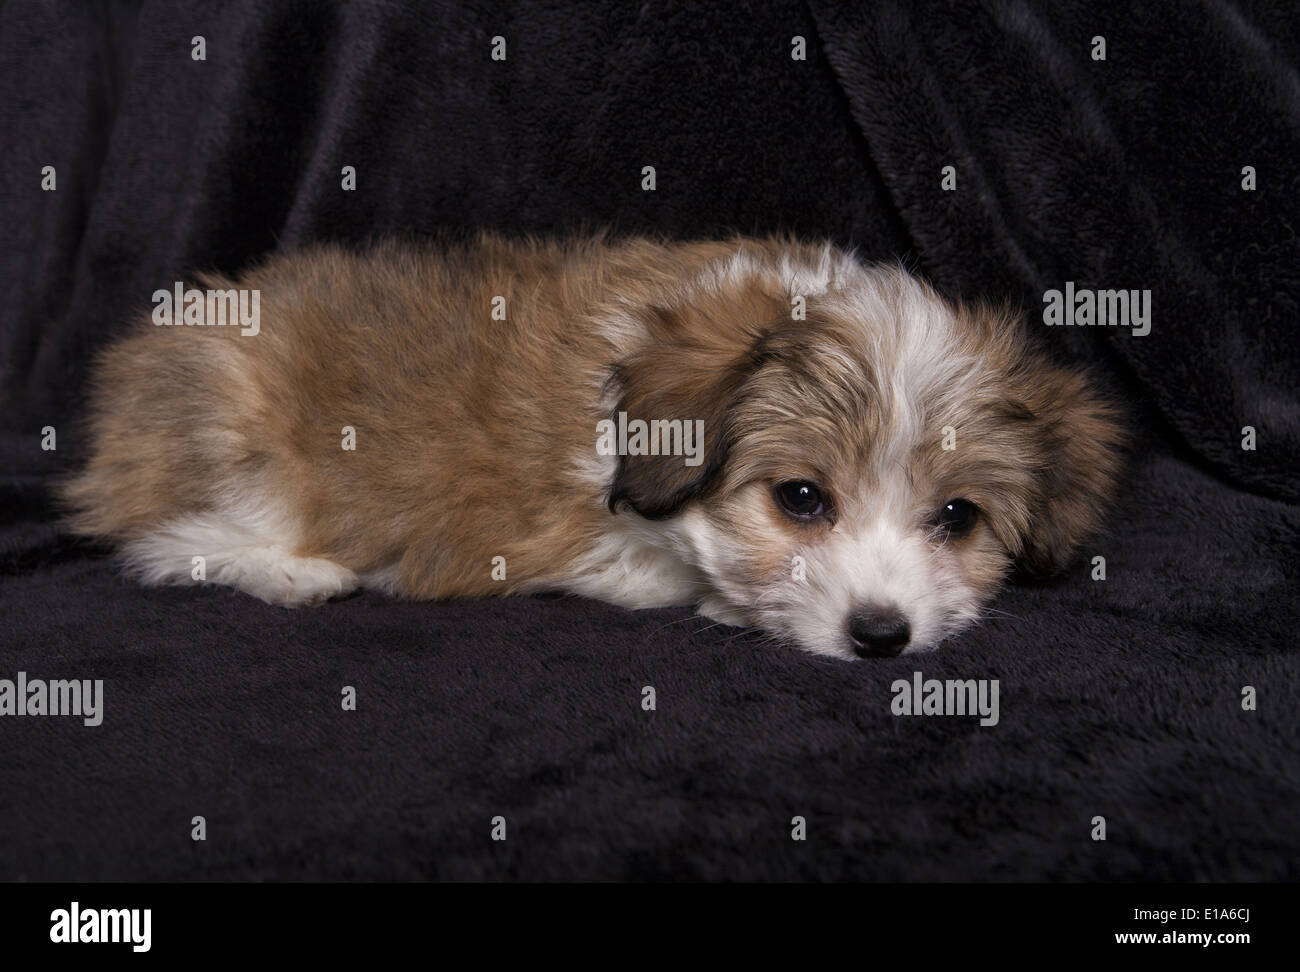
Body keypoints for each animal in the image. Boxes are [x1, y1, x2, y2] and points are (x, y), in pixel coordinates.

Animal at [55, 235, 1123, 660]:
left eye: (958, 517)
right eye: (801, 499)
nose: (882, 636)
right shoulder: (567, 536)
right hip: (238, 430)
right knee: (162, 542)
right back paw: (292, 572)